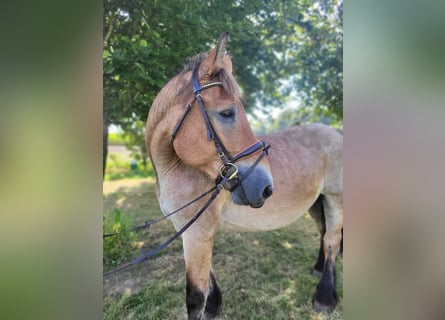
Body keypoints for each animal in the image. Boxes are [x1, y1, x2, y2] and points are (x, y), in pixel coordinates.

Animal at [144, 31, 342, 318]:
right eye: (227, 113)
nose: (265, 187)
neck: (176, 168)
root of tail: (336, 133)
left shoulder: (197, 234)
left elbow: (195, 296)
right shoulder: (191, 231)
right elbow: (208, 278)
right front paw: (215, 305)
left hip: (336, 198)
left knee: (332, 241)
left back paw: (325, 296)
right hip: (318, 200)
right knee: (324, 234)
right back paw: (320, 272)